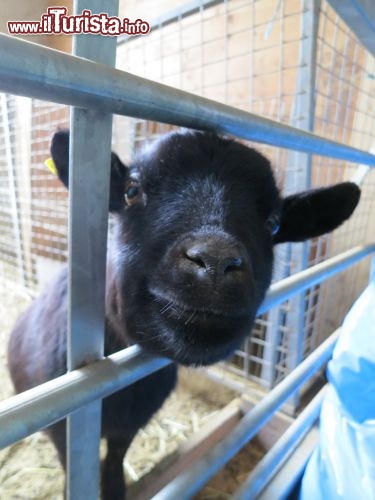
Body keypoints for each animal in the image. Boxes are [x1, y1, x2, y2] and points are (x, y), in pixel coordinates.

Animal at [8, 131, 362, 498]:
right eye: (131, 190)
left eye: (274, 223)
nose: (216, 261)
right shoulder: (64, 431)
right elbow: (71, 466)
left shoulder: (131, 424)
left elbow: (116, 457)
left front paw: (115, 488)